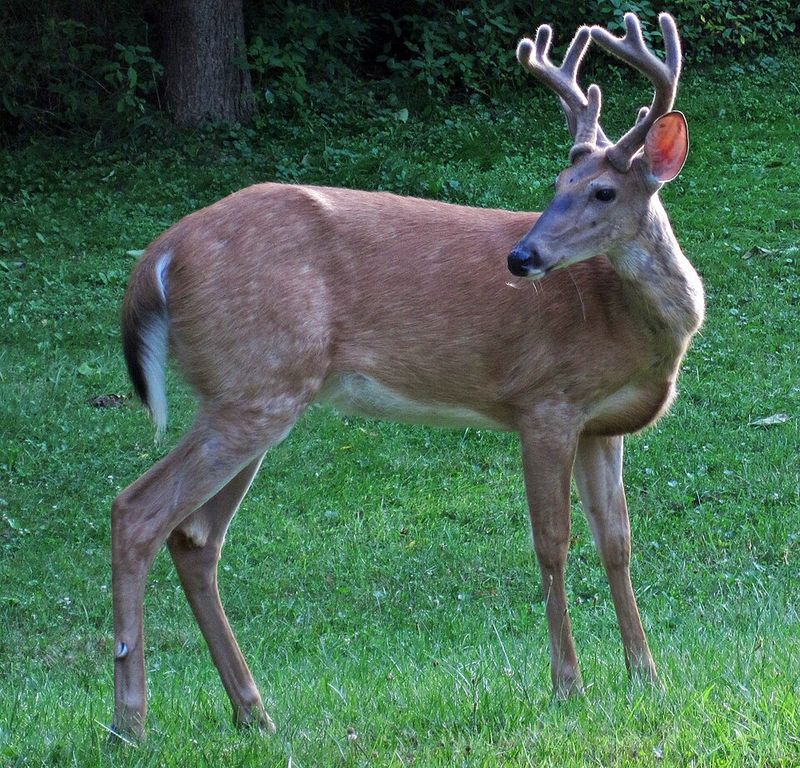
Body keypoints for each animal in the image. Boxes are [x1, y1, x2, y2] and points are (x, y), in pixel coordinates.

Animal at [111, 13, 704, 738]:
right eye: (554, 188)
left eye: (601, 189)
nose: (522, 257)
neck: (628, 326)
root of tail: (159, 256)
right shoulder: (544, 402)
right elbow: (552, 542)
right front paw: (569, 686)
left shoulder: (603, 423)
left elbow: (617, 541)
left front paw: (647, 677)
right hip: (254, 384)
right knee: (136, 511)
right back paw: (131, 721)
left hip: (252, 391)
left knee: (194, 536)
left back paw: (253, 712)